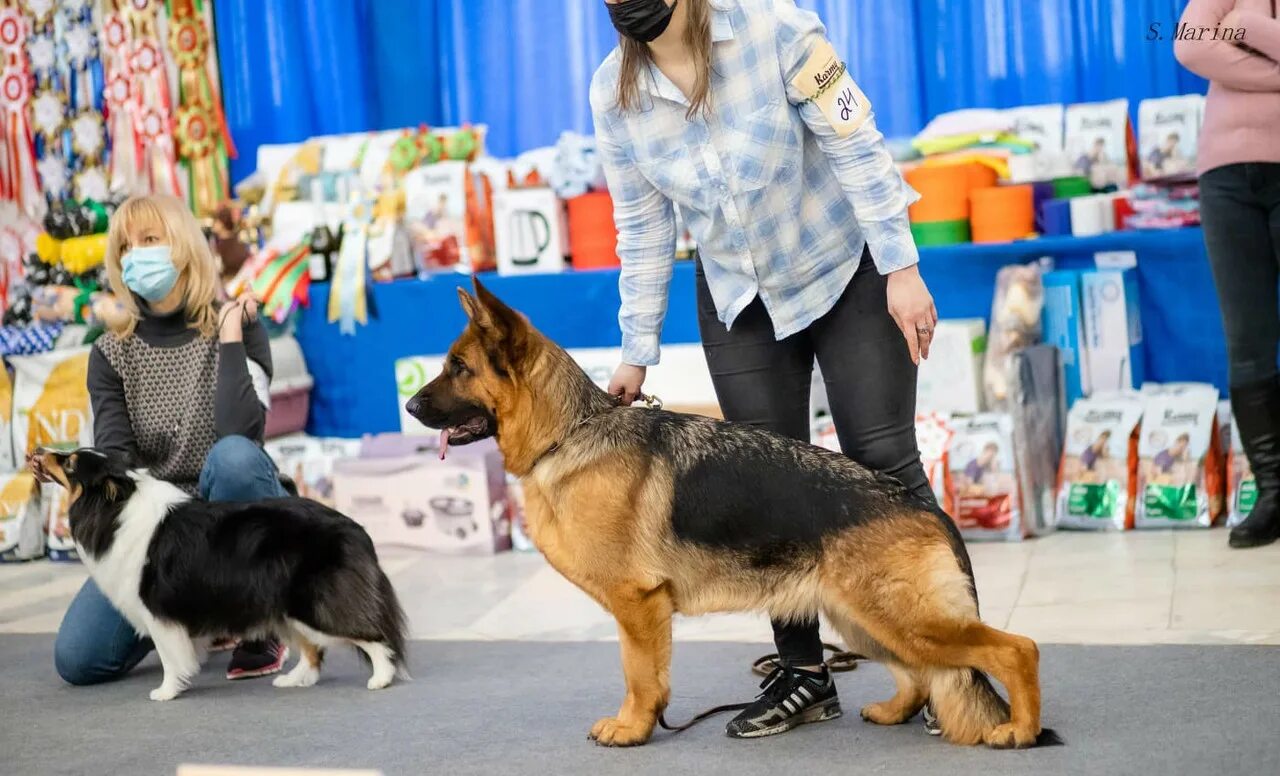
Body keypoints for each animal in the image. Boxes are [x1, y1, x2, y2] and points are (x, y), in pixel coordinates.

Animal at [32, 448, 407, 701]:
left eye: (69, 463)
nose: (38, 452)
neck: (116, 508)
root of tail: (355, 528)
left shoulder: (158, 612)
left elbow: (169, 657)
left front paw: (166, 691)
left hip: (314, 603)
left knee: (371, 635)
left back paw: (381, 678)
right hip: (288, 608)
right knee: (313, 651)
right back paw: (293, 680)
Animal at [404, 282, 1054, 752]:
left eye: (459, 368)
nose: (408, 405)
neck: (569, 432)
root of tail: (919, 503)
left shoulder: (638, 606)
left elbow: (639, 676)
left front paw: (632, 729)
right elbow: (645, 675)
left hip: (900, 616)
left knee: (1015, 648)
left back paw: (1020, 731)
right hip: (863, 619)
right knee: (920, 672)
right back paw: (896, 711)